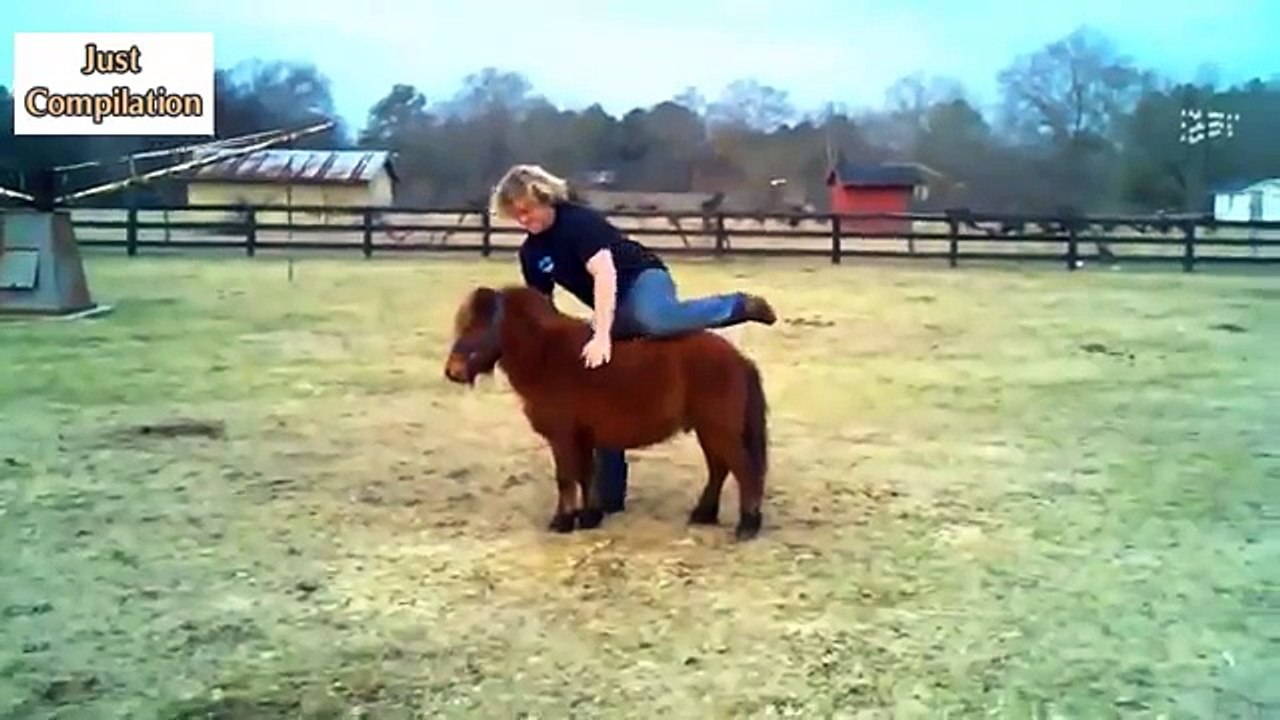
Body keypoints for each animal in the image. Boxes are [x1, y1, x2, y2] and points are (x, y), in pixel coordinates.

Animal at [443, 285, 770, 541]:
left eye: (477, 327)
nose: (452, 372)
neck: (550, 355)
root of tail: (739, 359)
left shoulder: (562, 436)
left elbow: (566, 477)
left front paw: (562, 521)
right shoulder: (583, 436)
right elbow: (586, 474)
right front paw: (589, 517)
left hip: (719, 430)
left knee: (743, 471)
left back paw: (747, 525)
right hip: (709, 430)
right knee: (719, 469)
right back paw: (704, 514)